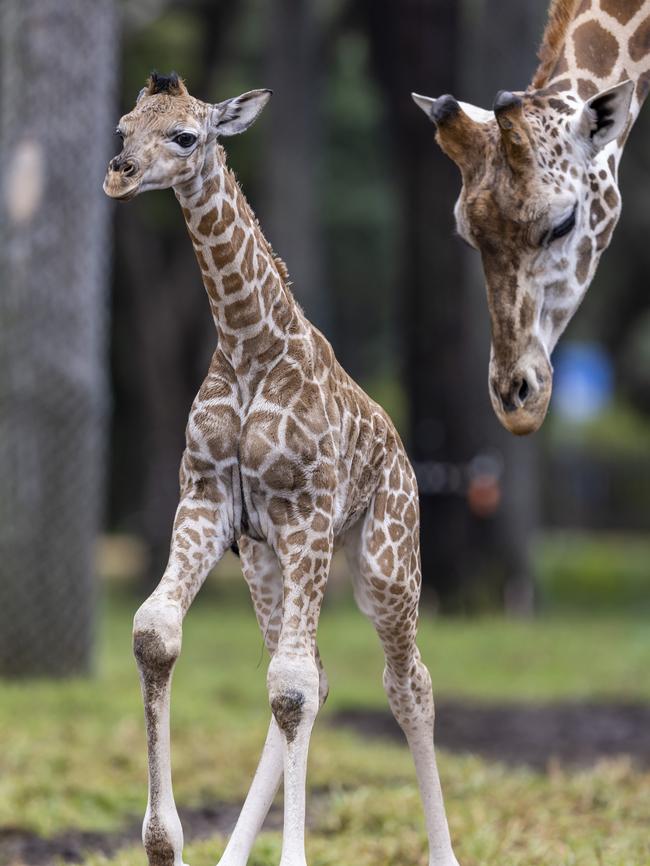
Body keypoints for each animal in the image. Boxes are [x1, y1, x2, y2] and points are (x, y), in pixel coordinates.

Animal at [104, 74, 458, 864]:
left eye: (185, 136)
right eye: (123, 127)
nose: (119, 173)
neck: (247, 345)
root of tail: (400, 449)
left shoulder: (309, 516)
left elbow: (289, 684)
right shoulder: (206, 502)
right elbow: (155, 633)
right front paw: (164, 843)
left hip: (385, 562)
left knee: (408, 682)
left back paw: (446, 854)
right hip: (265, 563)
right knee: (318, 676)